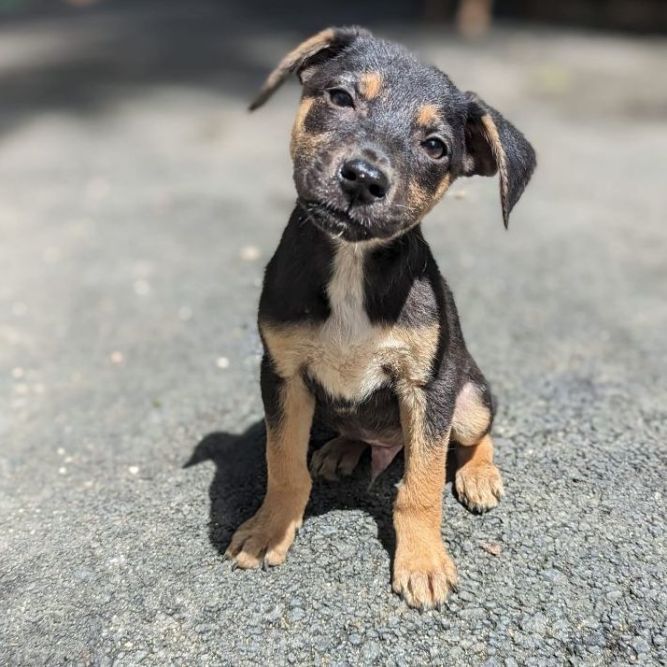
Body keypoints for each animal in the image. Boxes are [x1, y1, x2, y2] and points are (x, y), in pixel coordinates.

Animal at [228, 26, 536, 612]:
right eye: (341, 97)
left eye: (435, 146)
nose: (363, 179)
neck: (354, 261)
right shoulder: (281, 374)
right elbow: (282, 463)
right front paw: (269, 530)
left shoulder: (428, 389)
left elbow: (420, 485)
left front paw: (423, 563)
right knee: (360, 431)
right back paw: (341, 450)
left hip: (468, 395)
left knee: (476, 433)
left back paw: (479, 475)